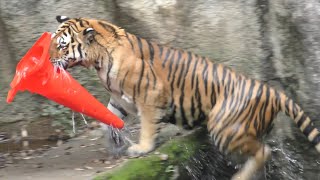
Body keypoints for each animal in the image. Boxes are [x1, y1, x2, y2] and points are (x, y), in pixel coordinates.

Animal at [48, 15, 318, 180]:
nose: (48, 59)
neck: (99, 61)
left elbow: (147, 126)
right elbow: (109, 120)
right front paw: (114, 144)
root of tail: (271, 90)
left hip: (225, 127)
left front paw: (140, 148)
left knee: (264, 152)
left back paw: (240, 176)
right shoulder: (119, 99)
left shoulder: (149, 95)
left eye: (61, 45)